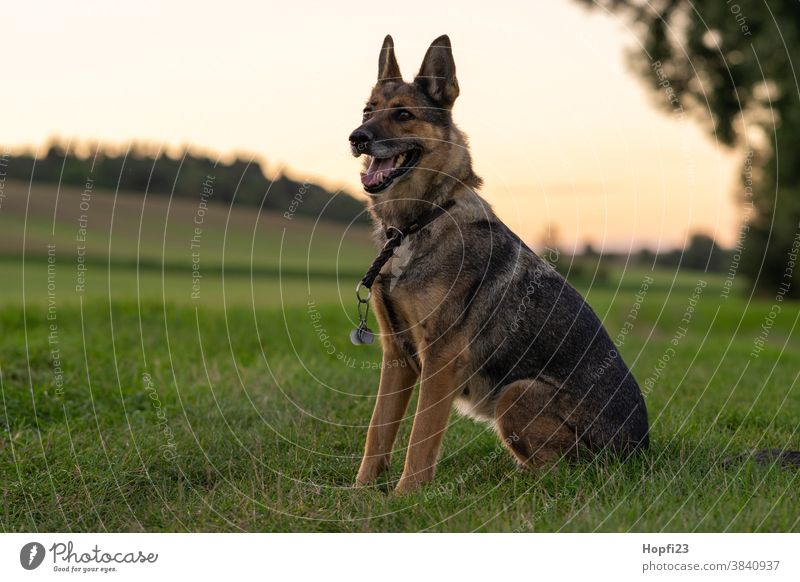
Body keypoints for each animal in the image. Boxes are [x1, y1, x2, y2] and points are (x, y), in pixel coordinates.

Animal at [346, 34, 652, 496]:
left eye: (403, 115)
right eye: (368, 111)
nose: (357, 138)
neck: (418, 222)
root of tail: (643, 453)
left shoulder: (440, 359)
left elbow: (420, 437)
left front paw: (406, 496)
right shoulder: (396, 354)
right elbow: (377, 432)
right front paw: (362, 493)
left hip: (516, 394)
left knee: (565, 473)